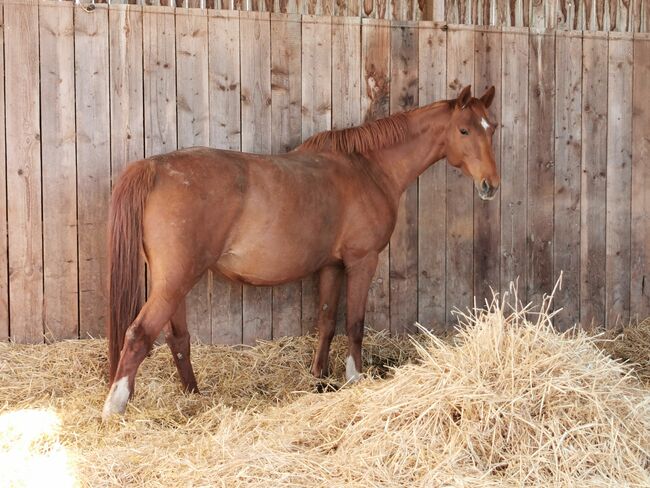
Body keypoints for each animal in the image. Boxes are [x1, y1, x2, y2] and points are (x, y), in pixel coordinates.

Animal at [102, 86, 496, 418]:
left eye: (491, 128)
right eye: (464, 130)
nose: (490, 185)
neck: (368, 167)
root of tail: (153, 168)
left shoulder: (331, 266)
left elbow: (326, 322)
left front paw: (319, 377)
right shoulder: (362, 261)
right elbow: (354, 323)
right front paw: (354, 378)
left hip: (174, 281)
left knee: (177, 338)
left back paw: (194, 395)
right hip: (176, 280)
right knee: (138, 334)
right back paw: (115, 407)